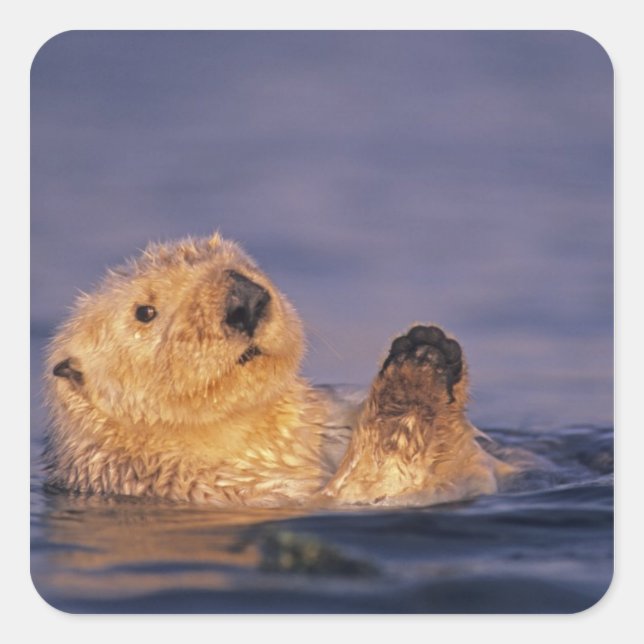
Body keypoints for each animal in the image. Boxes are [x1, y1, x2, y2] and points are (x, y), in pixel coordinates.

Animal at [44, 232, 511, 506]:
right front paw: (416, 369)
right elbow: (381, 484)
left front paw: (429, 344)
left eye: (242, 266)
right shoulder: (224, 488)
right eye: (144, 311)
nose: (244, 300)